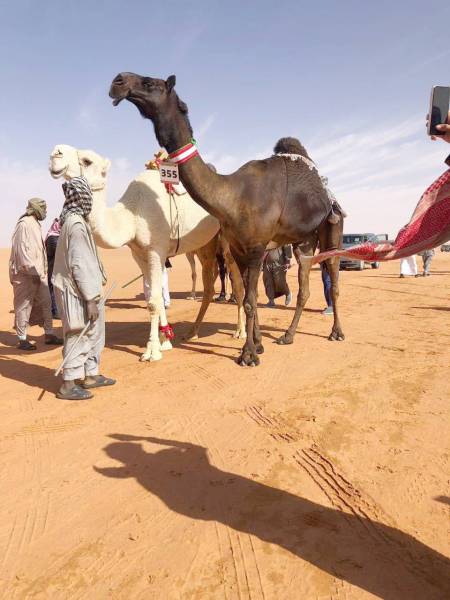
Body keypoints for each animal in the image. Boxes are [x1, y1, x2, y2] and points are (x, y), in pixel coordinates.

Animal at [48, 145, 244, 360]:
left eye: (87, 161)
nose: (56, 153)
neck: (132, 214)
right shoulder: (140, 254)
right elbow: (154, 295)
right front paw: (165, 340)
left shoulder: (155, 250)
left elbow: (154, 301)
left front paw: (152, 351)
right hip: (205, 245)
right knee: (209, 284)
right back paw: (192, 332)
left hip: (229, 240)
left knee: (237, 282)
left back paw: (239, 332)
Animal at [109, 75, 344, 366]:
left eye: (152, 83)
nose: (118, 81)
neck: (232, 196)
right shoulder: (238, 249)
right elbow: (248, 296)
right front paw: (257, 345)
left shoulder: (255, 249)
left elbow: (250, 300)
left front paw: (248, 355)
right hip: (304, 242)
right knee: (304, 287)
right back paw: (287, 336)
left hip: (332, 228)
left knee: (333, 277)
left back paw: (336, 332)